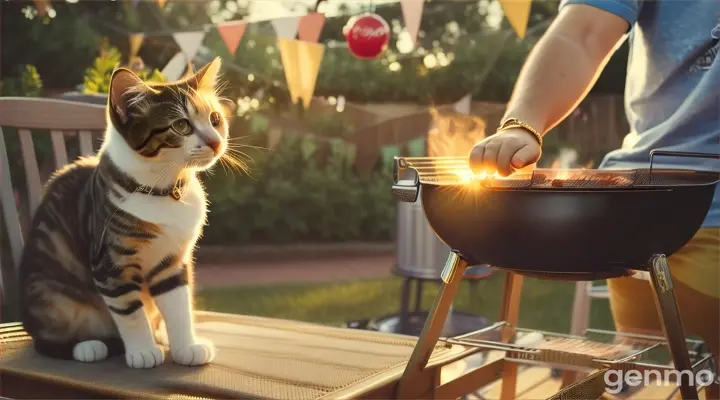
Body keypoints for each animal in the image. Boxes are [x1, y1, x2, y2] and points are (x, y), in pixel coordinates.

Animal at [19, 56, 232, 368]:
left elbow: (179, 305)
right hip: (50, 295)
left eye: (215, 118)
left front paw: (186, 346)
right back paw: (88, 346)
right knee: (48, 339)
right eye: (181, 125)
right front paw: (142, 350)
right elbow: (130, 312)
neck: (166, 191)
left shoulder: (172, 259)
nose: (215, 142)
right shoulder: (110, 261)